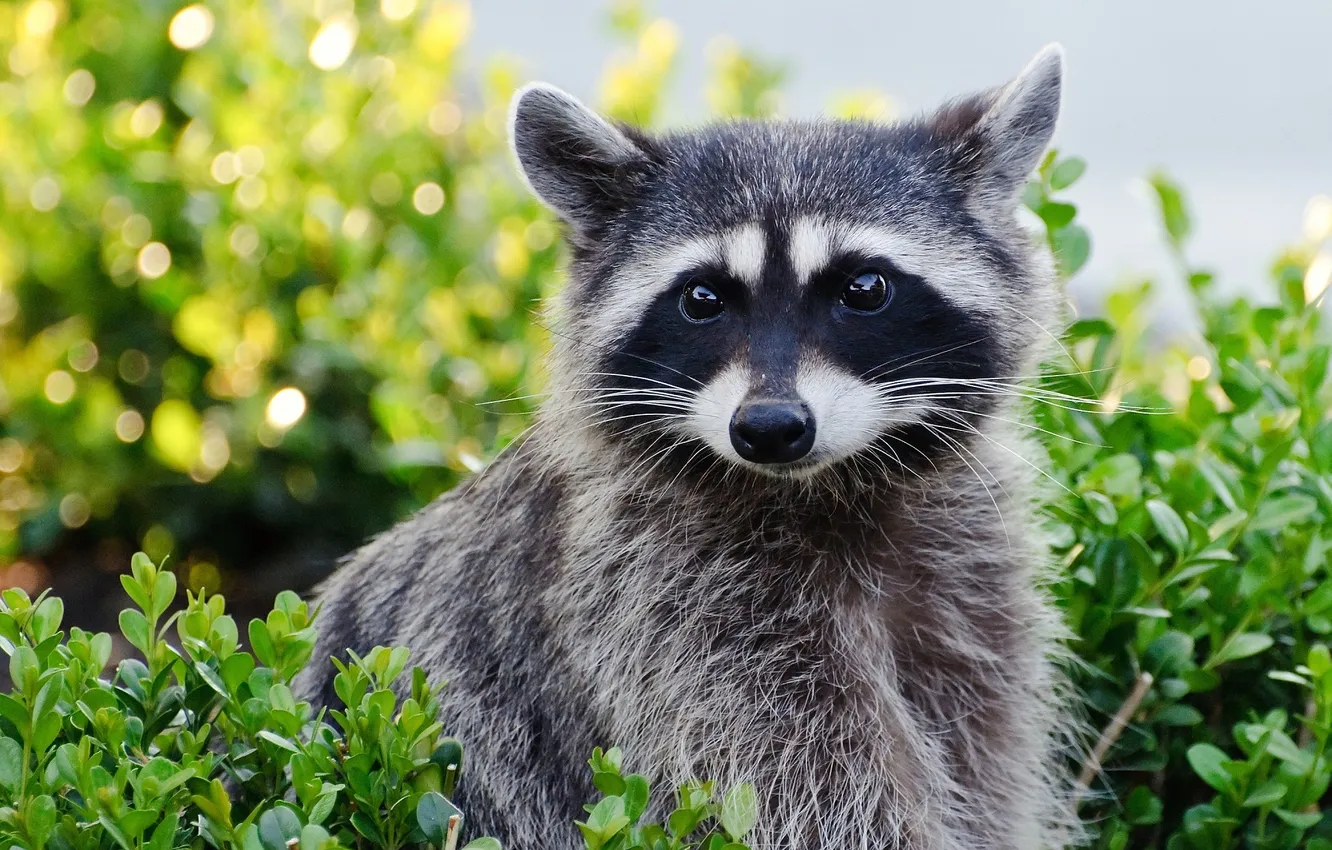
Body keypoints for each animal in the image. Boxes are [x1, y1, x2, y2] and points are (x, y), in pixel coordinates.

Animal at [295, 44, 1077, 850]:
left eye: (864, 288)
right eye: (702, 299)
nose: (770, 426)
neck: (824, 485)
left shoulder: (971, 594)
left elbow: (985, 766)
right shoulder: (663, 603)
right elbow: (799, 792)